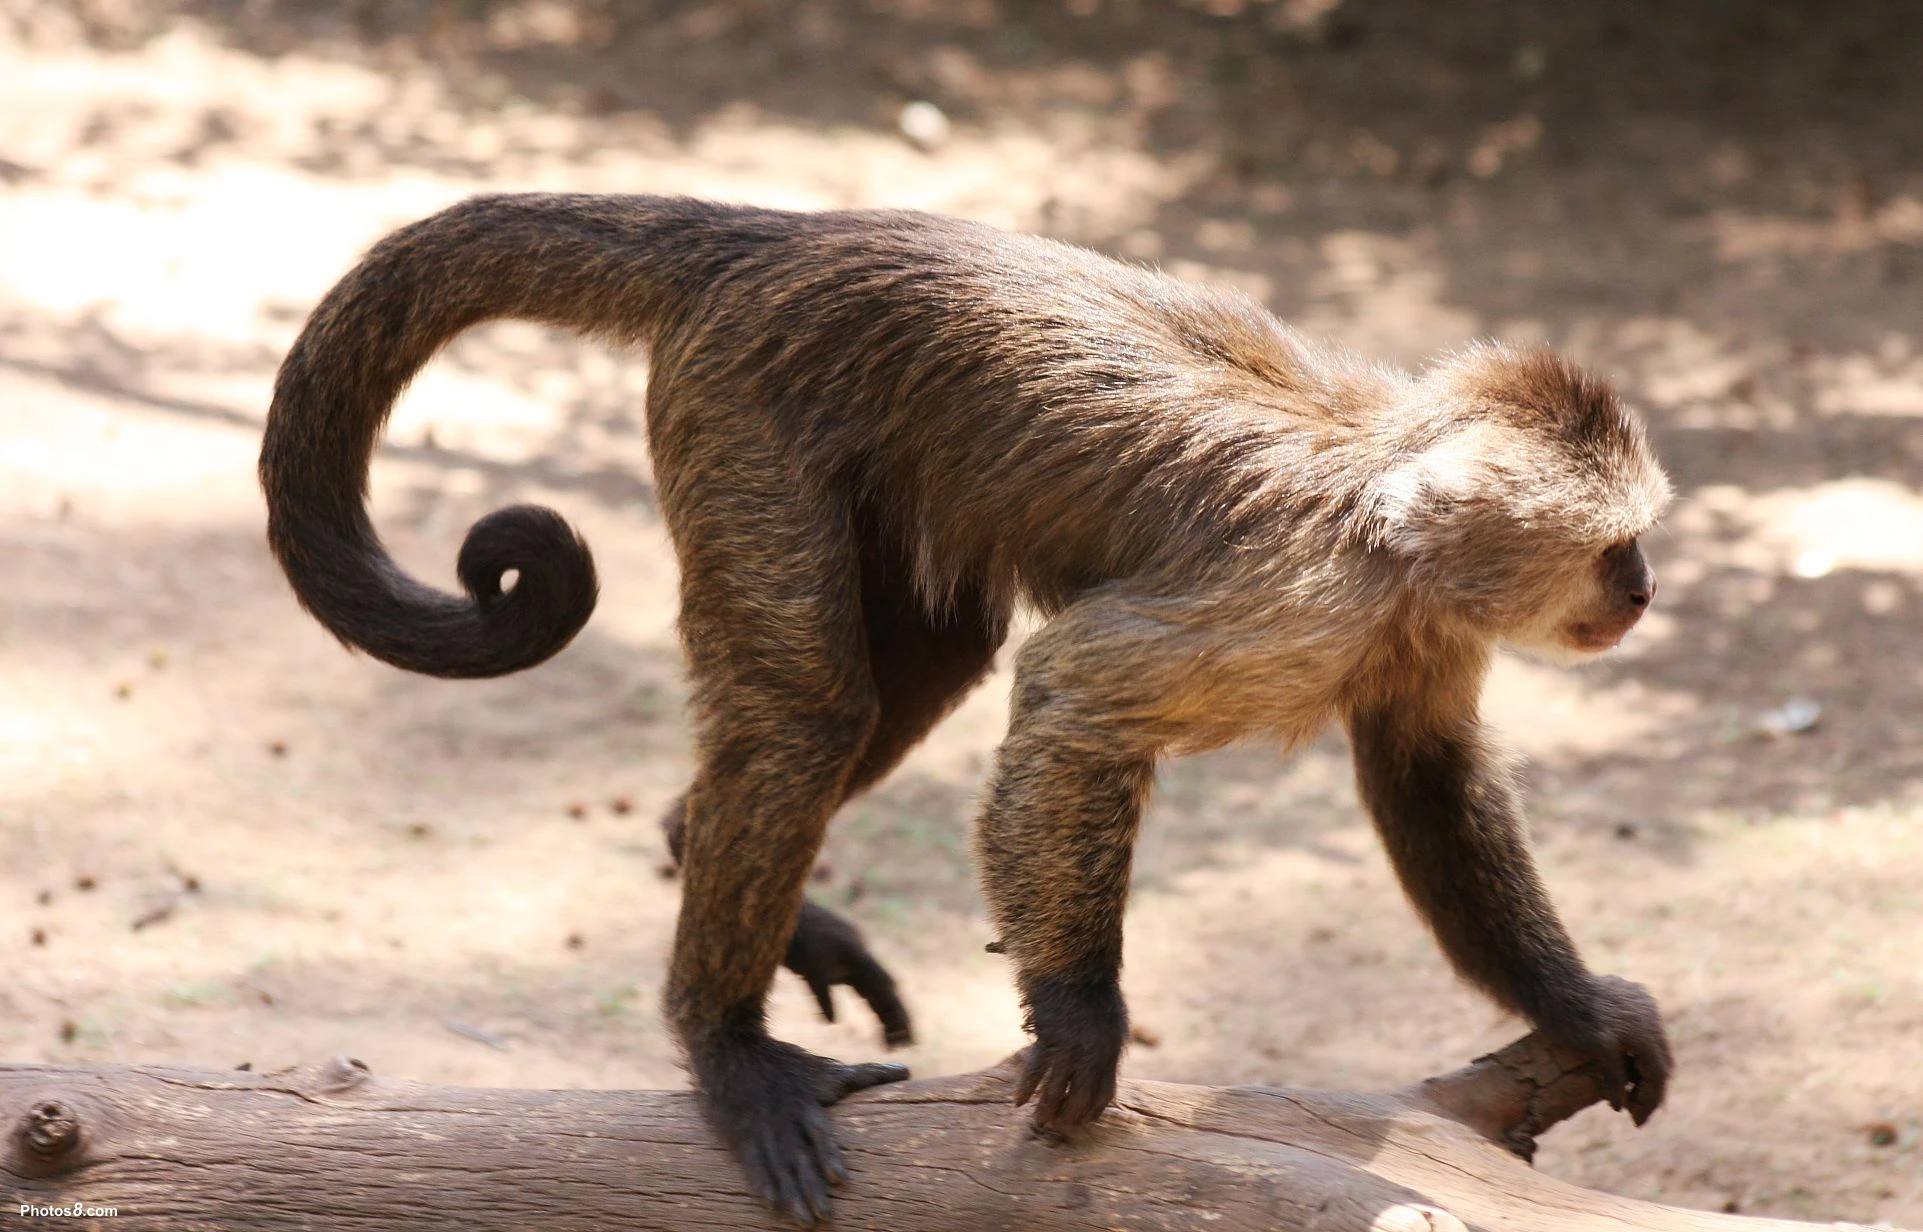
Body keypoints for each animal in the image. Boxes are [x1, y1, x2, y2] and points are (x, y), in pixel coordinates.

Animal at [259, 193, 1674, 1226]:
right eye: (1619, 548)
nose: (1648, 588)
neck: (1392, 518)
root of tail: (780, 234)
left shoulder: (1417, 628)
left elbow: (1425, 773)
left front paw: (1573, 1004)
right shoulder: (1305, 601)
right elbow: (1072, 696)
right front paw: (1079, 1004)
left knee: (924, 658)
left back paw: (690, 840)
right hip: (748, 406)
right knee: (810, 709)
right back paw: (724, 1038)